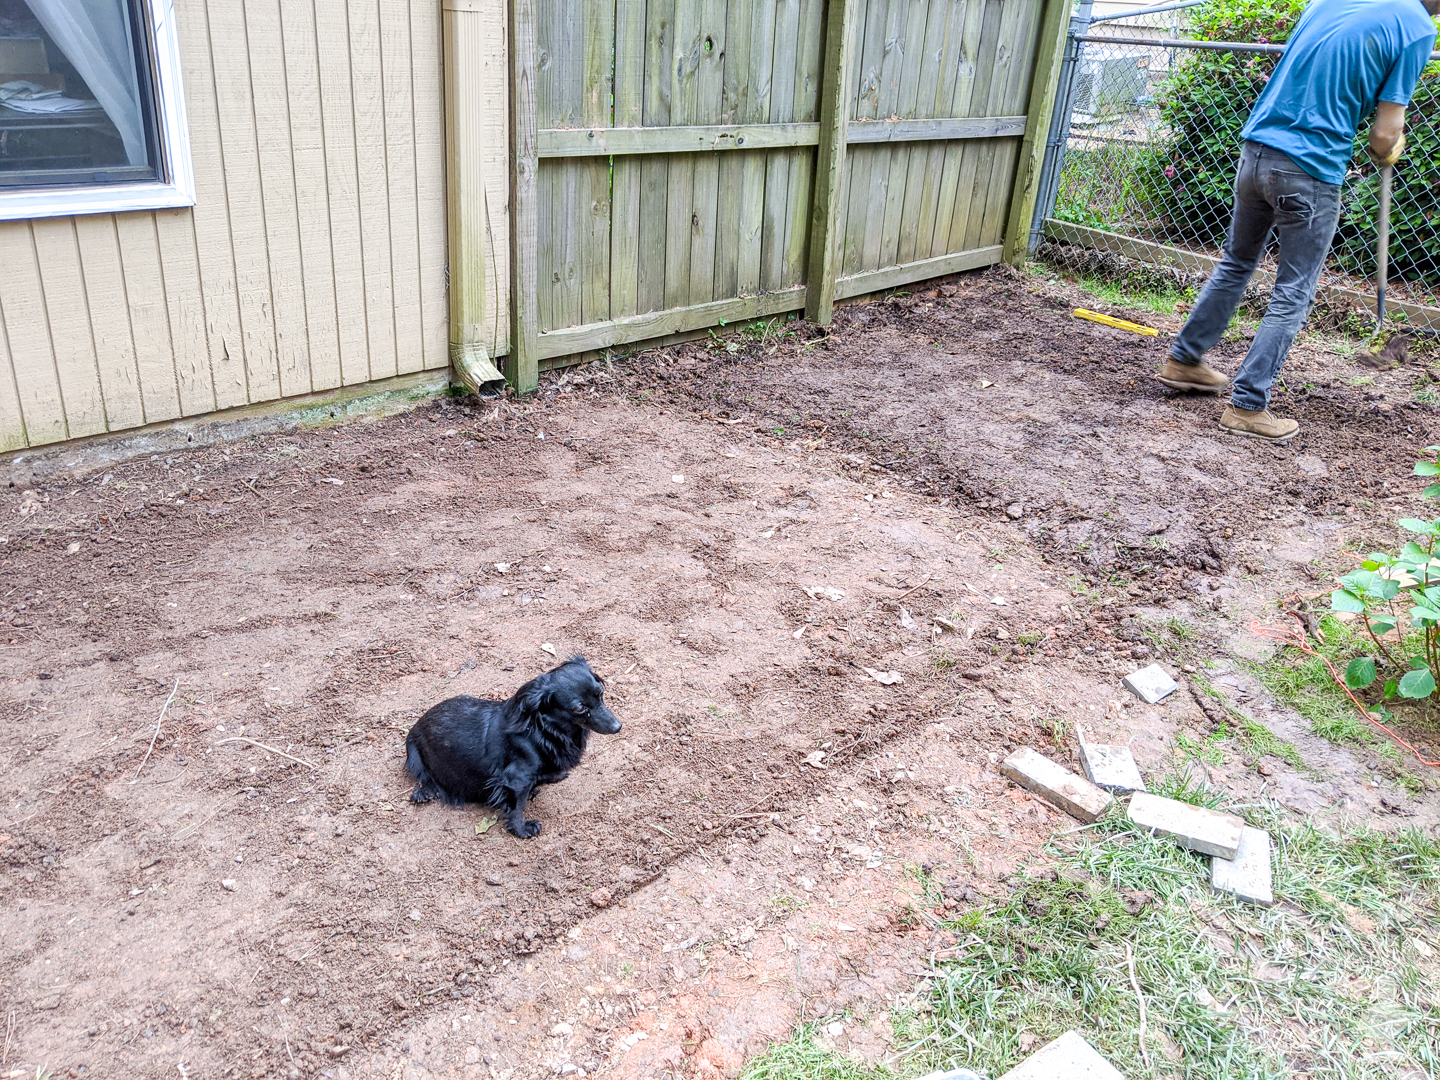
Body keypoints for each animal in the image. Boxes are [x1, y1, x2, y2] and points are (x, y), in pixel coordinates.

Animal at [403, 656, 622, 840]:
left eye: (601, 693)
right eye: (580, 708)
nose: (617, 726)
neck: (544, 730)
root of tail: (416, 725)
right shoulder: (516, 779)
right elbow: (517, 807)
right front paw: (523, 829)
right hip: (414, 755)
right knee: (426, 778)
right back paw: (425, 793)